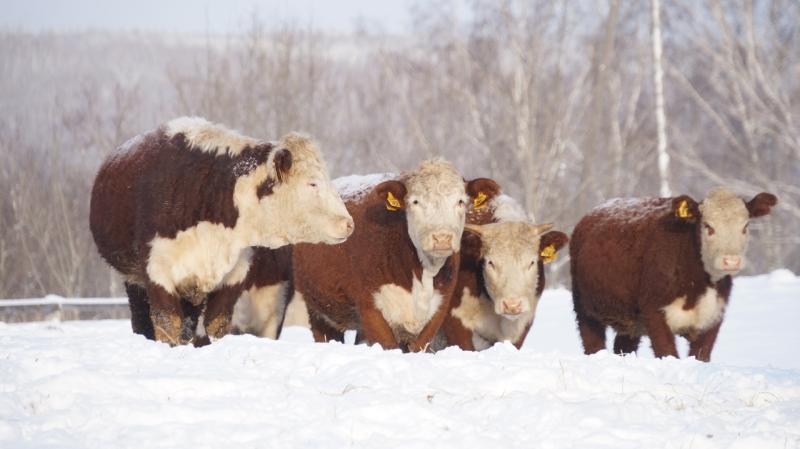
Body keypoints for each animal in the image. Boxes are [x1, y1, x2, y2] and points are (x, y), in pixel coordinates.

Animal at [89, 117, 352, 344]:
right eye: (312, 183)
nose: (348, 223)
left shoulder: (235, 272)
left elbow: (218, 324)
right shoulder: (157, 270)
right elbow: (167, 323)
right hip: (133, 280)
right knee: (142, 322)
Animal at [290, 159, 496, 352]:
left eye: (460, 201)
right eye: (415, 201)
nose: (442, 238)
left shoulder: (439, 307)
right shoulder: (369, 305)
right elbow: (388, 345)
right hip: (319, 310)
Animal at [572, 186, 780, 360]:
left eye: (745, 226)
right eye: (708, 226)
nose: (731, 261)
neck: (697, 287)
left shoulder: (714, 315)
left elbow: (700, 356)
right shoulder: (655, 311)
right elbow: (668, 353)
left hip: (630, 320)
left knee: (623, 346)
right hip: (585, 308)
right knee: (593, 342)